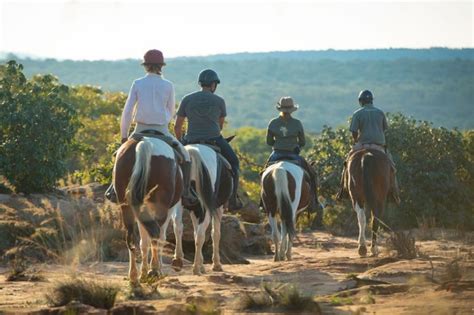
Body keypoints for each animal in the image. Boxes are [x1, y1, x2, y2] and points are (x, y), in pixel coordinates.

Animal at [113, 137, 183, 286]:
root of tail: (143, 142)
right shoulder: (171, 208)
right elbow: (164, 235)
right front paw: (155, 269)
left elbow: (143, 242)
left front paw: (143, 272)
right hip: (161, 205)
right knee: (156, 233)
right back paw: (154, 270)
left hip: (128, 206)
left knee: (131, 237)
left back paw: (133, 275)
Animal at [173, 144, 234, 276]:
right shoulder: (218, 208)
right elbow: (215, 234)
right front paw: (216, 264)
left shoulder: (194, 210)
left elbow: (195, 231)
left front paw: (202, 264)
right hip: (206, 209)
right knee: (201, 235)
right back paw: (195, 268)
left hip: (179, 204)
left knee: (178, 226)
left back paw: (178, 259)